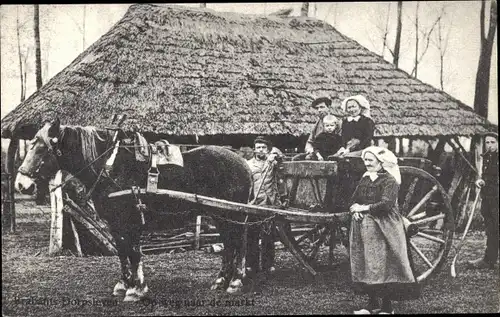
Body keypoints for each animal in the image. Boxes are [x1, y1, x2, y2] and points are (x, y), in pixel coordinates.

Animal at [15, 117, 256, 300]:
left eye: (42, 148)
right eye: (31, 144)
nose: (21, 184)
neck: (109, 168)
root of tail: (242, 163)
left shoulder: (129, 221)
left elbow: (133, 252)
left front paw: (135, 290)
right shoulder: (115, 223)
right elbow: (123, 252)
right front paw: (125, 285)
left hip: (231, 213)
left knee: (239, 242)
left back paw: (235, 281)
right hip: (221, 215)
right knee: (229, 243)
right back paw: (221, 280)